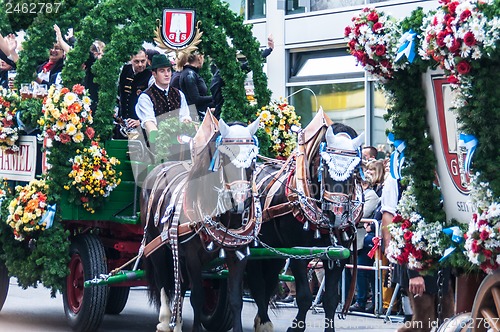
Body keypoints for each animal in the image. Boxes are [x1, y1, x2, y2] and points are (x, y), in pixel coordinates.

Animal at [139, 115, 260, 332]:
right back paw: (165, 321)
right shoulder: (192, 256)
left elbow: (236, 300)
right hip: (156, 244)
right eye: (226, 159)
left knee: (179, 285)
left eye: (253, 159)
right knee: (163, 282)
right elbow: (197, 297)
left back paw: (176, 321)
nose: (240, 201)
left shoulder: (238, 255)